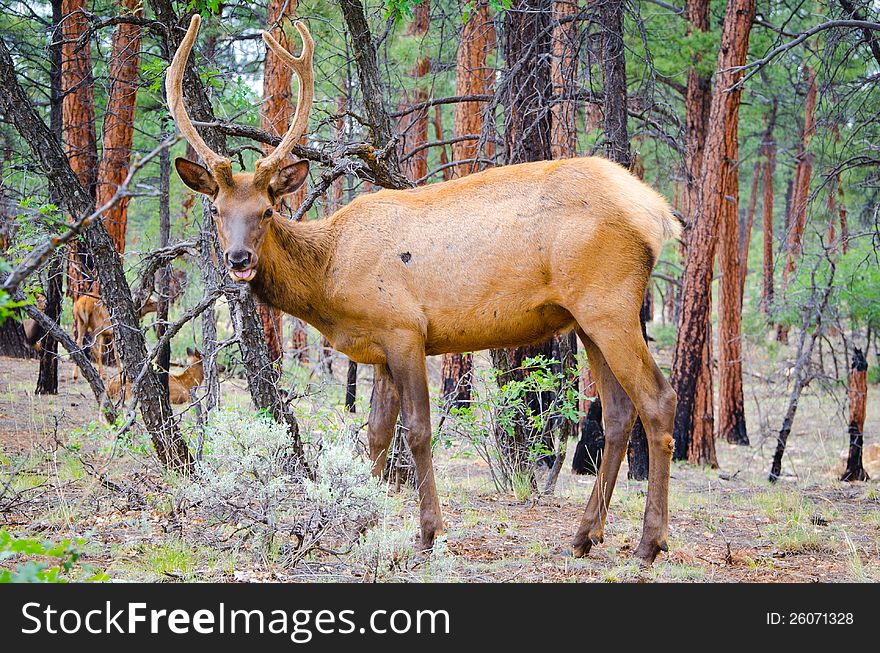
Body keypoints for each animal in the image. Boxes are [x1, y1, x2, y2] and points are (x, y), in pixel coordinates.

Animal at [170, 17, 680, 564]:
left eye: (267, 210)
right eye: (217, 210)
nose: (238, 260)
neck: (328, 281)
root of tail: (659, 213)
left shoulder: (405, 329)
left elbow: (415, 431)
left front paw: (429, 531)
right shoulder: (376, 347)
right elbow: (376, 435)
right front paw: (358, 527)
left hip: (610, 303)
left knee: (657, 399)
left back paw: (648, 543)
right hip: (587, 318)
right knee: (618, 413)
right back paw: (584, 535)